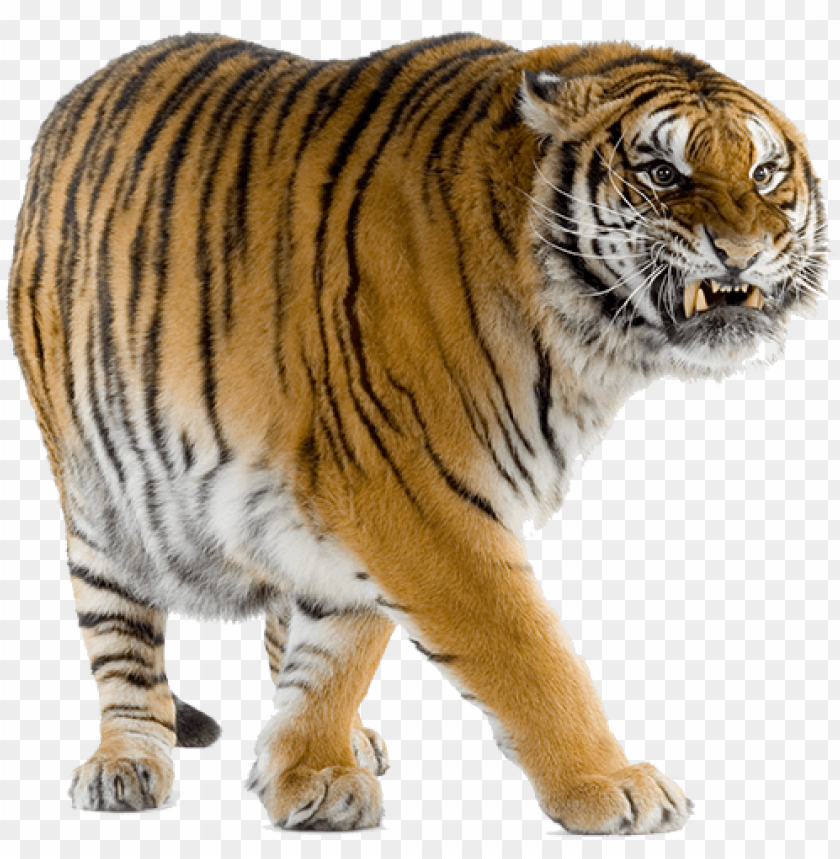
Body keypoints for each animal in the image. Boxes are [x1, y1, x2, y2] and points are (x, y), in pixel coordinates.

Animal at [9, 32, 826, 833]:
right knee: (122, 641)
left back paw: (350, 740)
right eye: (662, 172)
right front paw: (610, 784)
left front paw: (310, 768)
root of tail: (83, 91)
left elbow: (337, 651)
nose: (744, 250)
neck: (584, 344)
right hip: (99, 500)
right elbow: (525, 651)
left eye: (763, 173)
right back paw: (125, 764)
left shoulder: (354, 501)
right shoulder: (412, 490)